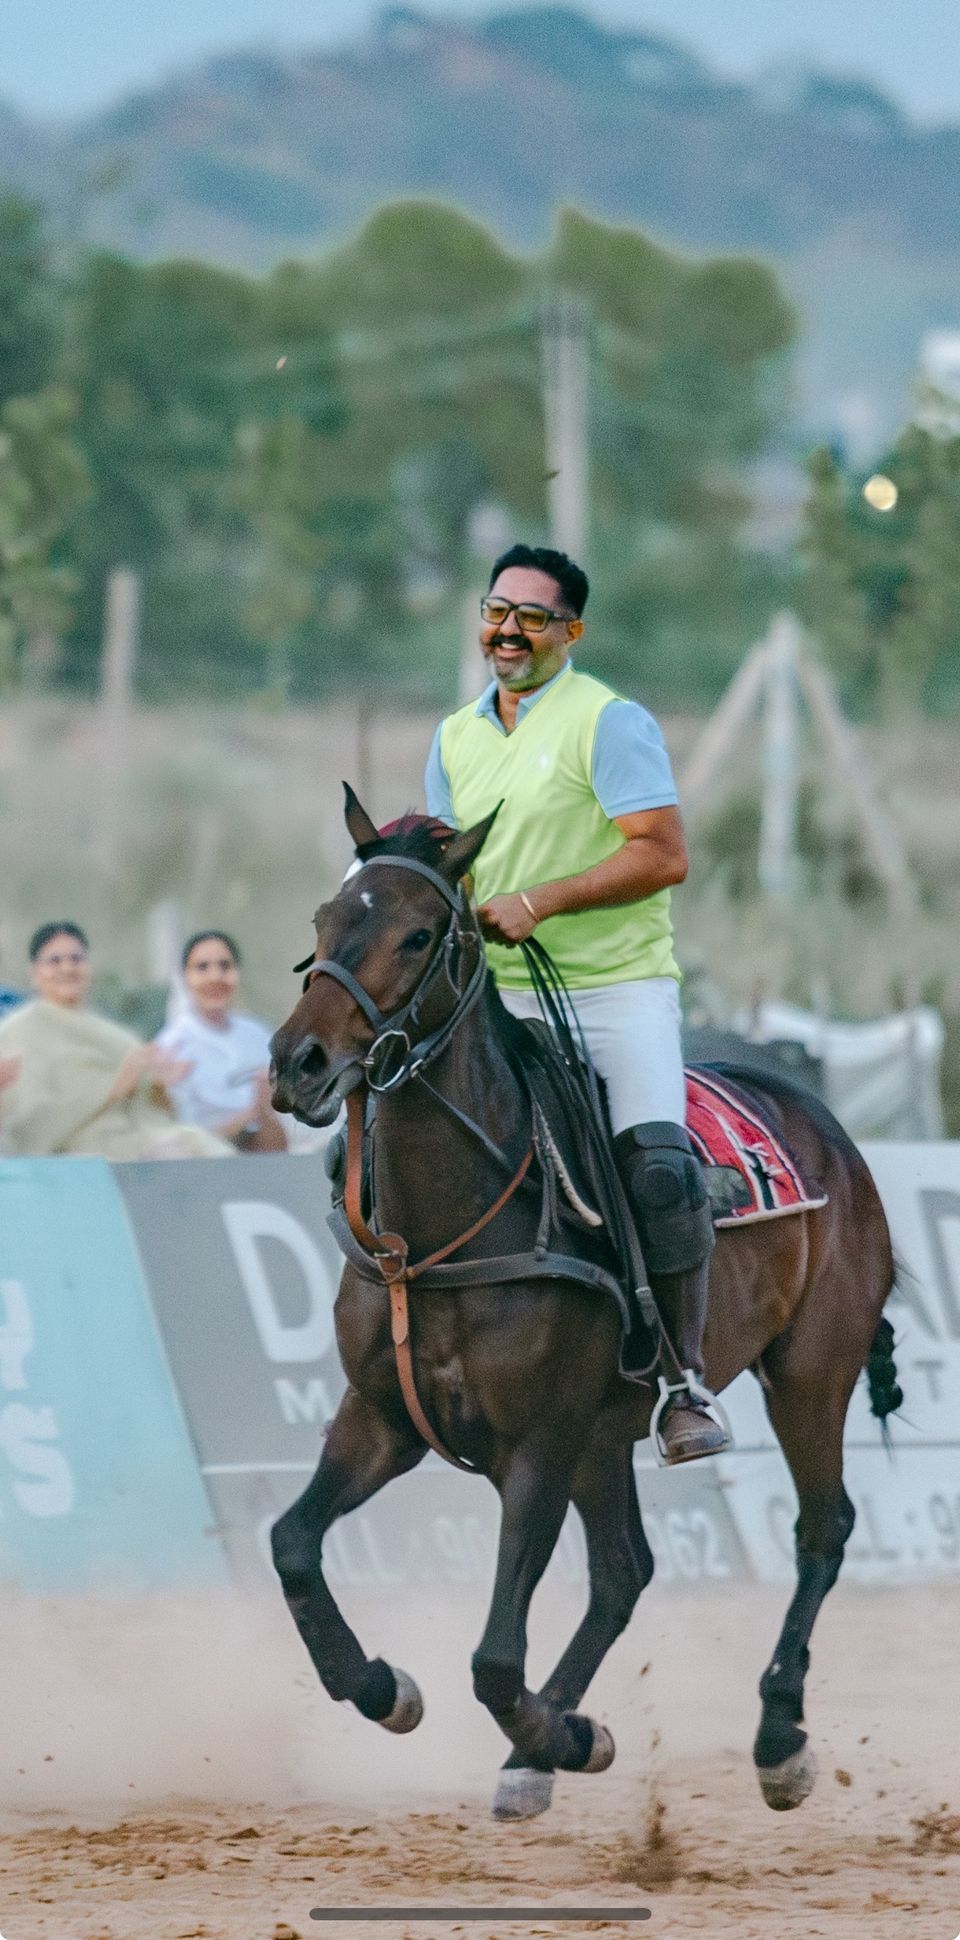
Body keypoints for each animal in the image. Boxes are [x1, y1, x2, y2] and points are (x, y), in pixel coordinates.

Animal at [269, 787, 899, 1815]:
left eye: (418, 933)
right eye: (325, 920)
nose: (298, 1063)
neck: (443, 1231)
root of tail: (825, 1123)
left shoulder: (538, 1443)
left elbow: (492, 1659)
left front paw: (556, 1731)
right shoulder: (383, 1417)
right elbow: (292, 1544)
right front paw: (385, 1688)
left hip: (810, 1370)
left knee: (822, 1529)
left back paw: (776, 1737)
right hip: (608, 1432)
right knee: (624, 1572)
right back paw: (545, 1746)